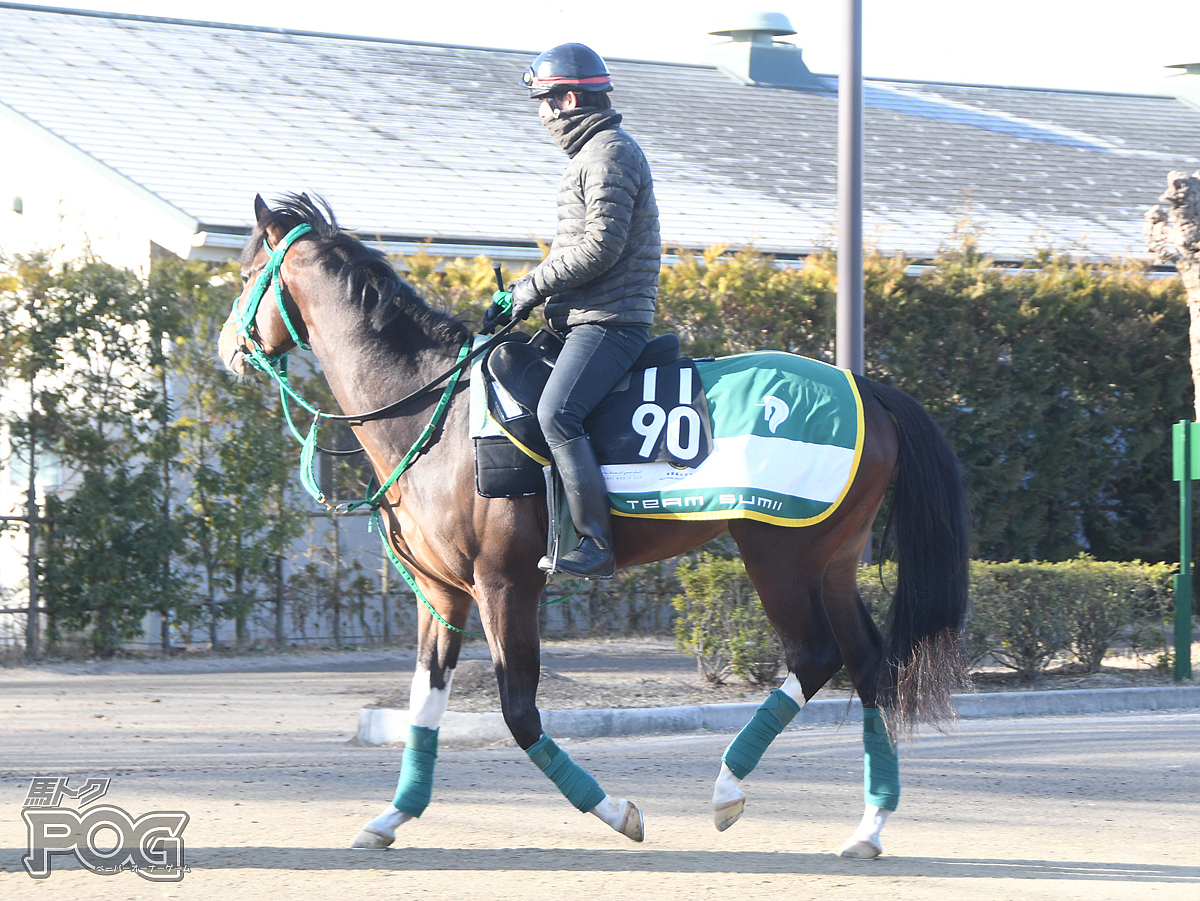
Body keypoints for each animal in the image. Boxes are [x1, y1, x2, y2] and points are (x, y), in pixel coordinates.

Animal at [220, 195, 969, 859]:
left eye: (246, 271)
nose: (228, 345)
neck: (439, 413)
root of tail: (867, 388)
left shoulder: (505, 585)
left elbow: (520, 712)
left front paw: (616, 811)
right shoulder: (443, 594)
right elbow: (424, 706)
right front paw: (391, 816)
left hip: (777, 554)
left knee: (816, 656)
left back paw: (728, 788)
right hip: (831, 562)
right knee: (869, 665)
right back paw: (869, 826)